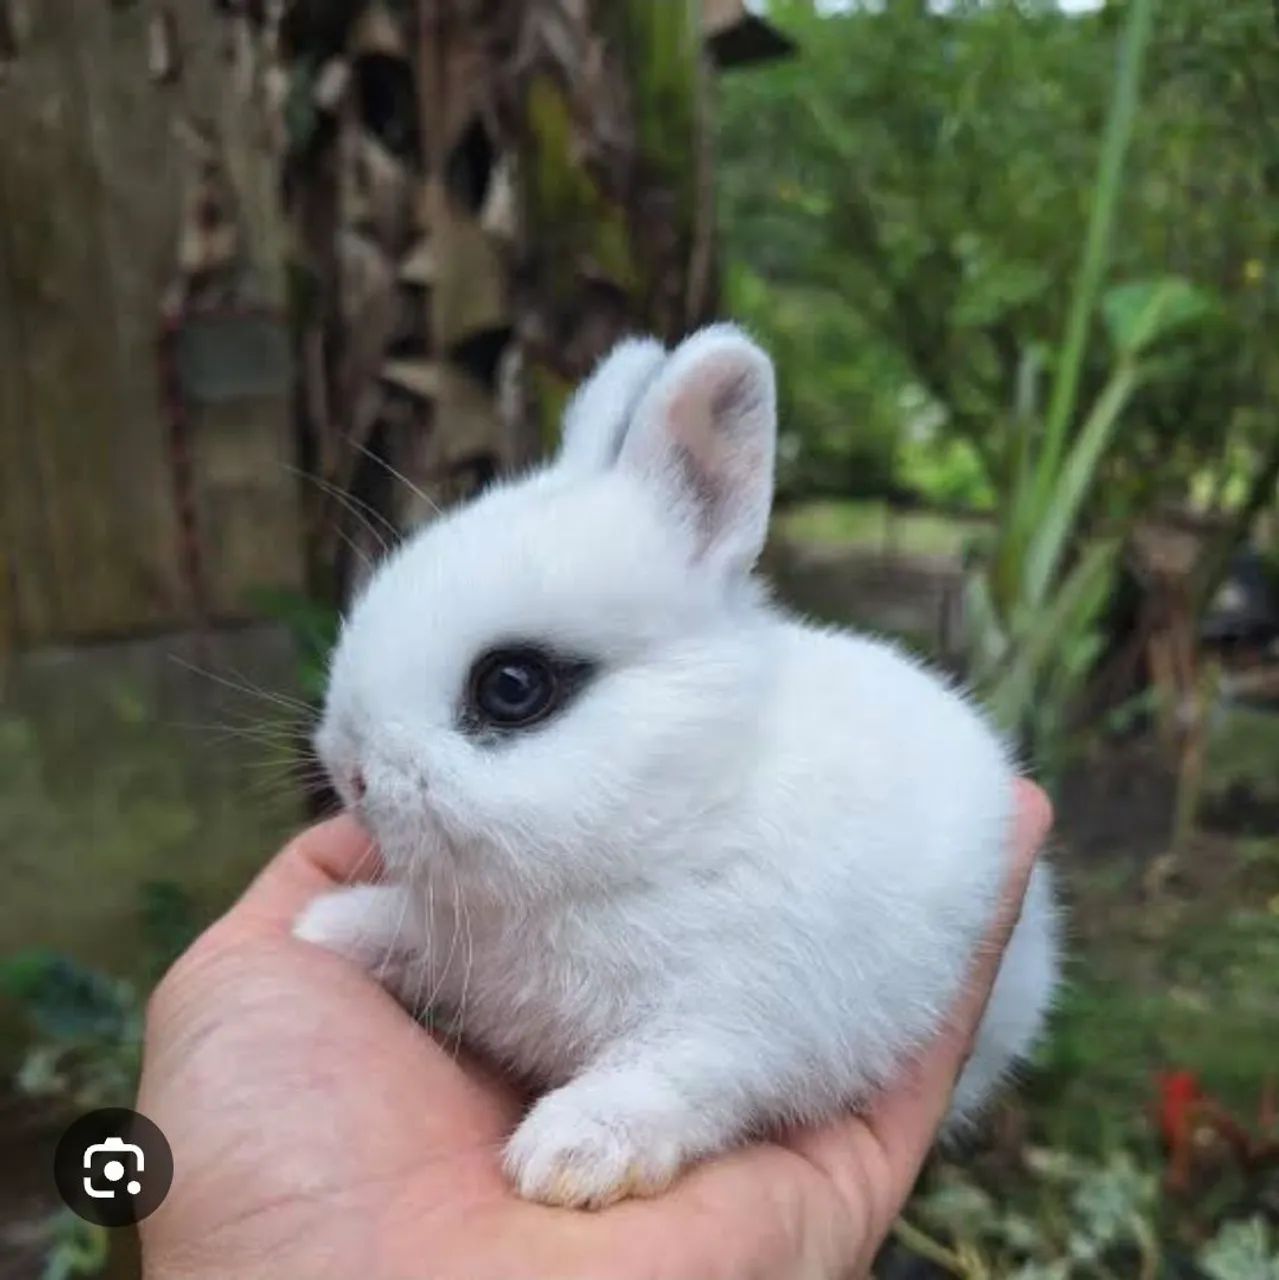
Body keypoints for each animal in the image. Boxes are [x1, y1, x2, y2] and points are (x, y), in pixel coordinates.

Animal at [294, 324, 1060, 1210]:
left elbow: (668, 1080)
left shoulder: (735, 1021)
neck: (676, 816)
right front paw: (322, 928)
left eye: (512, 686)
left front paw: (569, 1156)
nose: (349, 772)